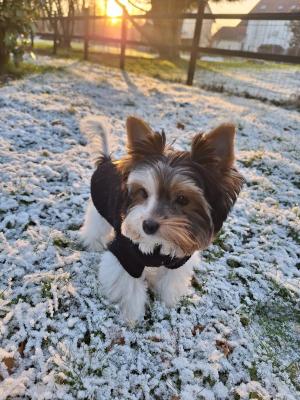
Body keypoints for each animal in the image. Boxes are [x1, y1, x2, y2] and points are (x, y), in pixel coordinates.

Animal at [79, 115, 244, 322]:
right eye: (143, 192)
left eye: (182, 199)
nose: (147, 226)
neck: (159, 245)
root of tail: (107, 161)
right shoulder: (125, 256)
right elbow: (128, 288)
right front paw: (132, 318)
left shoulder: (178, 262)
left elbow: (169, 283)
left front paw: (166, 305)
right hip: (98, 208)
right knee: (96, 227)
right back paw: (93, 244)